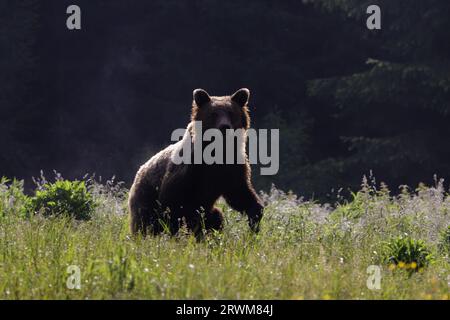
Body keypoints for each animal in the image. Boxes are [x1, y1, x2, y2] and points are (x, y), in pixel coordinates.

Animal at [128, 89, 264, 236]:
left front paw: (255, 219)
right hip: (145, 199)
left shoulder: (231, 169)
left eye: (231, 112)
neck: (216, 152)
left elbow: (240, 193)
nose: (225, 126)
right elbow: (172, 203)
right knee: (147, 222)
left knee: (216, 216)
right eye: (213, 114)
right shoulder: (188, 173)